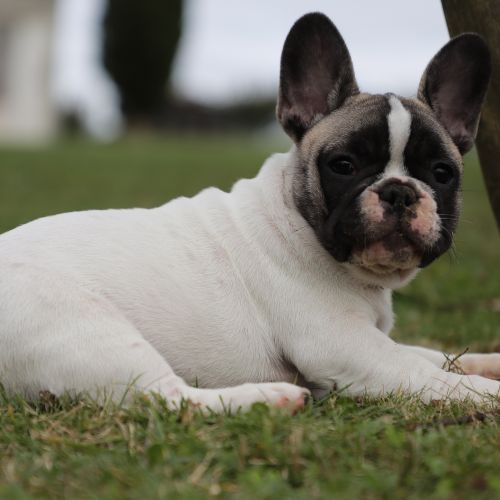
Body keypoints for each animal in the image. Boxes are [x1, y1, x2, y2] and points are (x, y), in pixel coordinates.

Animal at [1, 13, 499, 412]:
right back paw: (269, 397)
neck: (299, 221)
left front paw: (488, 361)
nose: (399, 191)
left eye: (441, 173)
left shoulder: (378, 340)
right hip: (91, 332)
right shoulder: (350, 348)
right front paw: (489, 393)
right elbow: (431, 375)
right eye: (343, 165)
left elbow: (434, 356)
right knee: (168, 399)